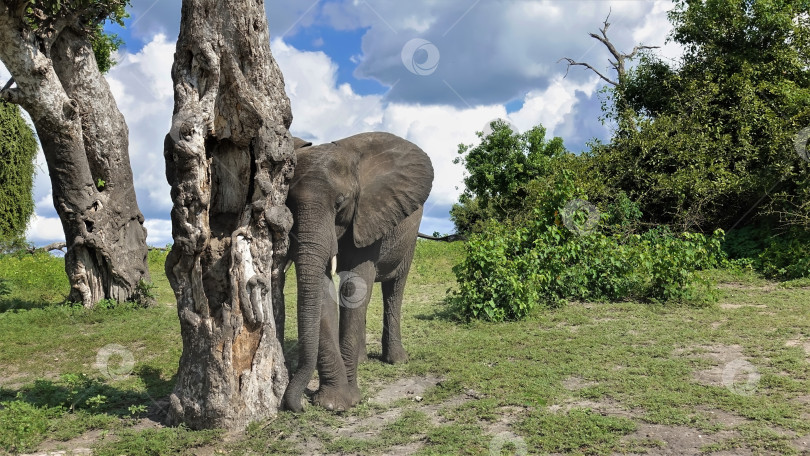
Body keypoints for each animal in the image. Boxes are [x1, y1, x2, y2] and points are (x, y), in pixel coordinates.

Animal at [282, 130, 436, 412]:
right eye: (289, 203)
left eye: (340, 203)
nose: (299, 405)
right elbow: (325, 291)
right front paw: (333, 403)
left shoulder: (370, 214)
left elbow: (354, 287)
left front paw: (345, 401)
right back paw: (364, 361)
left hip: (408, 236)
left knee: (394, 289)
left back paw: (397, 360)